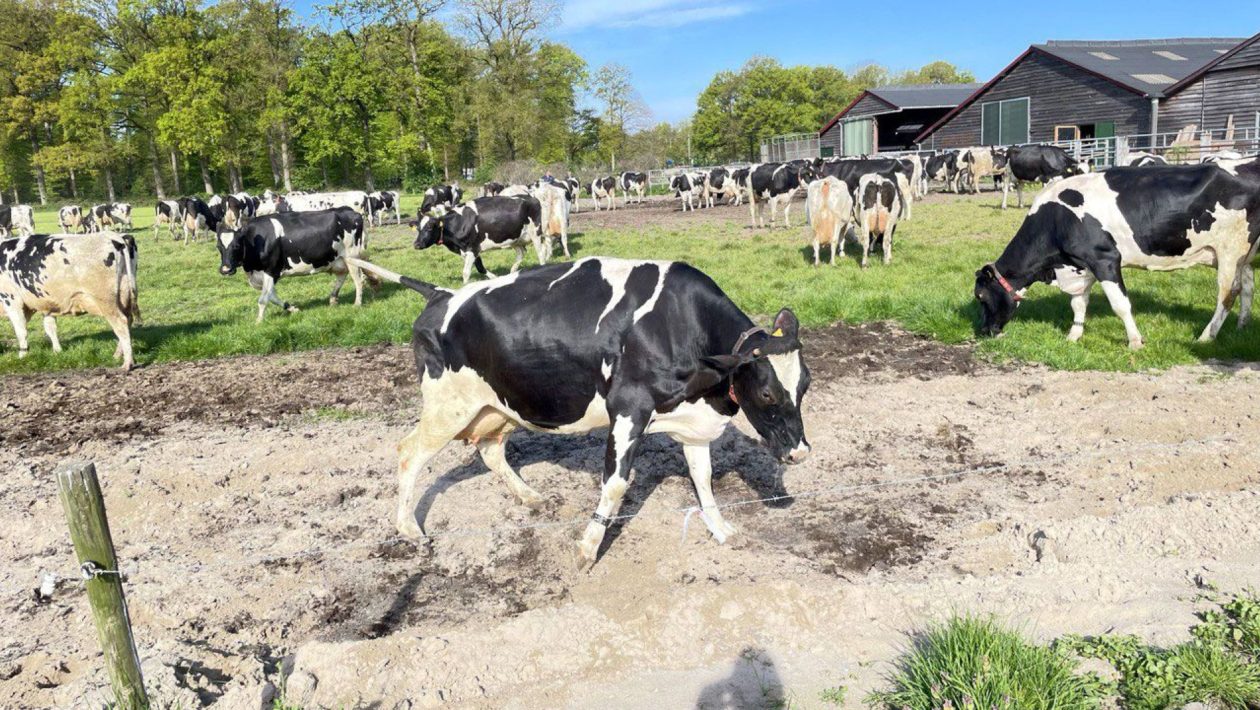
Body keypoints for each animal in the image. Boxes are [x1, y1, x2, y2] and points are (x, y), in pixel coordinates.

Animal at [0, 233, 140, 369]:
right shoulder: (47, 303)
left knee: (121, 324)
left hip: (106, 300)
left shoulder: (11, 299)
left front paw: (22, 356)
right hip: (124, 295)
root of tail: (116, 236)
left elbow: (21, 330)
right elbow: (50, 328)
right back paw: (118, 355)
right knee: (128, 320)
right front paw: (57, 352)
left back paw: (127, 363)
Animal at [216, 208, 369, 323]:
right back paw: (333, 299)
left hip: (352, 256)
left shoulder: (271, 270)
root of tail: (352, 212)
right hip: (338, 260)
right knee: (342, 276)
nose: (226, 269)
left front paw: (258, 321)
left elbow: (263, 299)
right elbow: (272, 296)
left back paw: (357, 304)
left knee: (358, 280)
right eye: (218, 247)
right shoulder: (263, 275)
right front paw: (292, 308)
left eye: (236, 246)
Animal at [345, 255, 812, 567]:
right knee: (409, 453)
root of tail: (441, 294)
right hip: (448, 405)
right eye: (766, 394)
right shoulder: (628, 407)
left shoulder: (692, 421)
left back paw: (530, 496)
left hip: (498, 406)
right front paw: (587, 548)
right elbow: (616, 484)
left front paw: (721, 530)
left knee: (490, 450)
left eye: (805, 385)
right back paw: (408, 529)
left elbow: (704, 480)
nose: (800, 452)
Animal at [412, 195, 545, 284]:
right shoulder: (470, 250)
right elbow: (480, 267)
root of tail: (530, 197)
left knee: (541, 254)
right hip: (515, 238)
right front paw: (495, 278)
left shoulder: (472, 248)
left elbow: (466, 272)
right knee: (521, 252)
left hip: (535, 233)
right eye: (418, 228)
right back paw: (512, 272)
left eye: (430, 228)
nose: (416, 244)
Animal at [974, 159, 1260, 349]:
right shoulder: (1081, 264)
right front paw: (1073, 336)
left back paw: (1206, 337)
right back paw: (1241, 326)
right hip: (1243, 254)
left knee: (1228, 293)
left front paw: (1135, 341)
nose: (985, 331)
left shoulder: (1105, 259)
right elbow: (1078, 304)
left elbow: (1120, 304)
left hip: (1230, 249)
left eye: (981, 297)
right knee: (1247, 285)